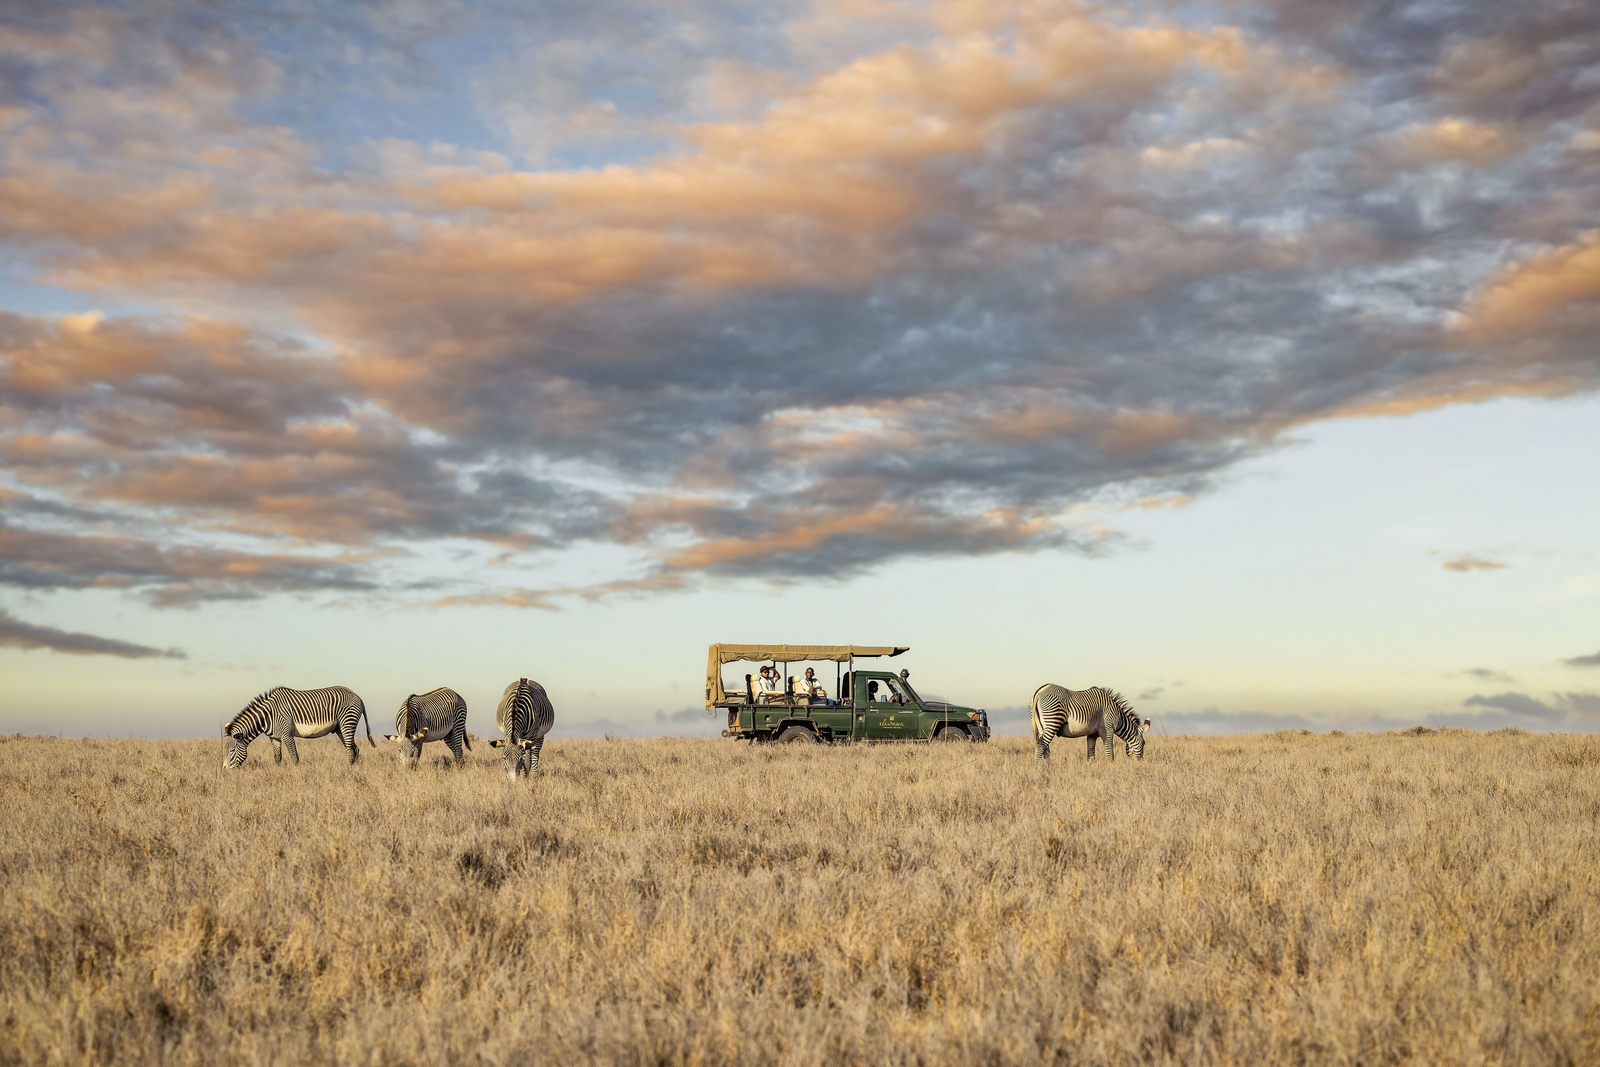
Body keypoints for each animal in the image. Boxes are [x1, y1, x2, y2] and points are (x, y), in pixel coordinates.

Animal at [222, 686, 374, 769]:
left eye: (232, 750)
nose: (224, 770)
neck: (267, 716)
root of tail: (357, 696)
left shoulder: (286, 734)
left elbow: (294, 758)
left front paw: (296, 777)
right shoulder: (274, 737)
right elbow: (277, 758)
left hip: (347, 723)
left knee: (351, 750)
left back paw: (350, 771)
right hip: (340, 728)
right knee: (354, 748)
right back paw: (354, 770)